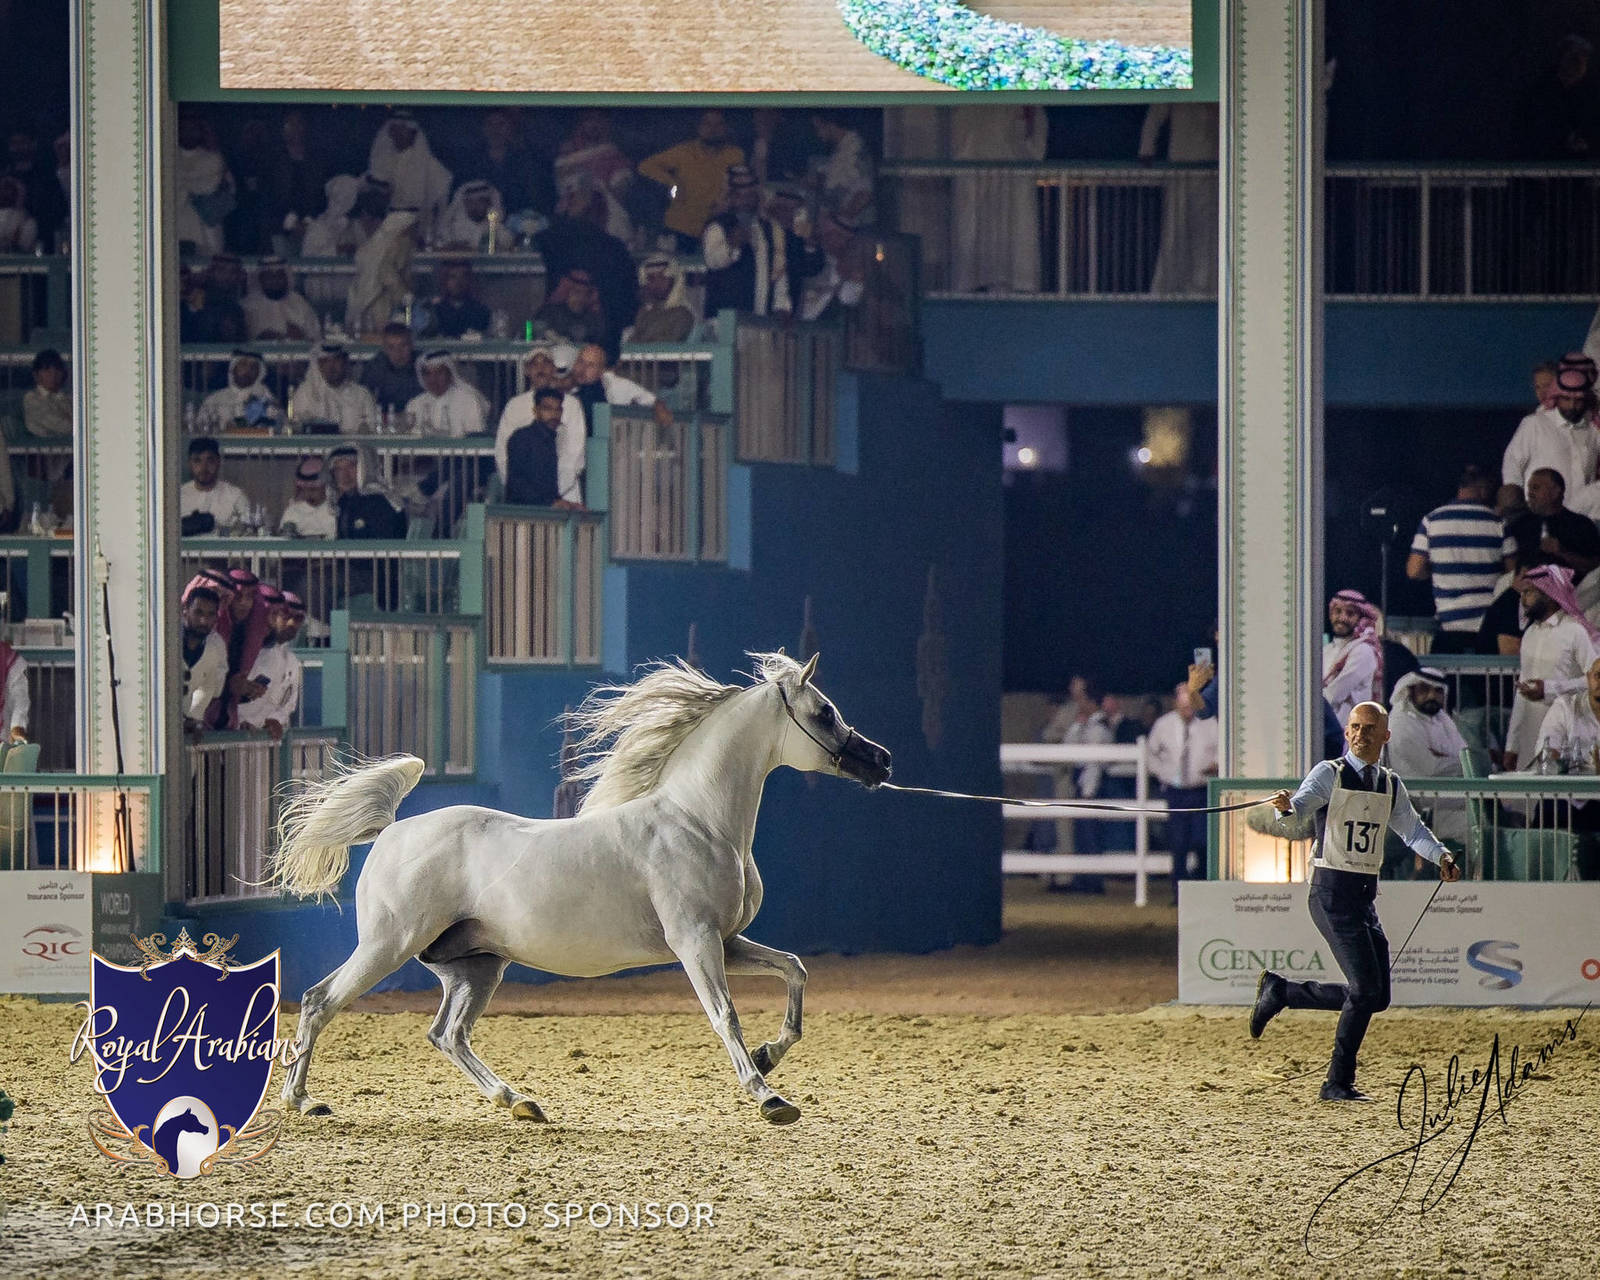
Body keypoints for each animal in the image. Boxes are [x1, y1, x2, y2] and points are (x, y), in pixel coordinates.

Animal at [267, 650, 892, 1126]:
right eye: (824, 712)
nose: (881, 760)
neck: (697, 821)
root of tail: (392, 829)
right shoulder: (695, 942)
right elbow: (725, 1015)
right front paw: (769, 1097)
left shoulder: (726, 941)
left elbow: (794, 970)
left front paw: (769, 1055)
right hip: (387, 947)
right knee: (321, 1002)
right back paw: (303, 1102)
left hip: (476, 965)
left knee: (447, 1034)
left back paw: (519, 1102)